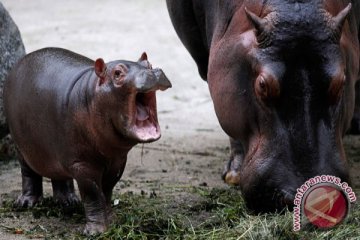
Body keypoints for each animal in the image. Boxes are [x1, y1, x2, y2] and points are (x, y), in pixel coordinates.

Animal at [2, 47, 172, 234]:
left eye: (149, 64)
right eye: (117, 73)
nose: (153, 72)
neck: (92, 95)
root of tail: (21, 61)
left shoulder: (117, 162)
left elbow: (106, 191)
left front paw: (112, 222)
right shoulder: (82, 165)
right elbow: (93, 195)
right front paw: (95, 232)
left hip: (59, 151)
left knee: (59, 175)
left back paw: (68, 201)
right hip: (22, 147)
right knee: (28, 173)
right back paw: (26, 203)